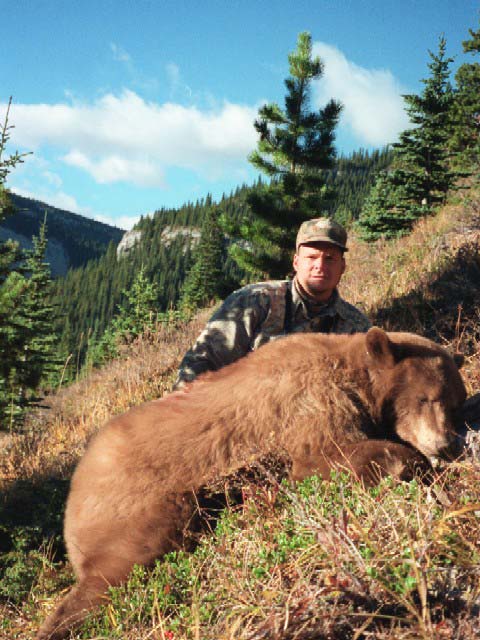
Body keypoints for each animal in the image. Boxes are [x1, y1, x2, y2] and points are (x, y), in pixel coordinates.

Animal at [36, 327, 466, 640]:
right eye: (427, 398)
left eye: (455, 399)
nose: (446, 444)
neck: (349, 369)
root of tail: (76, 484)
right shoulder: (309, 403)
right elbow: (321, 459)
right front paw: (414, 465)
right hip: (139, 503)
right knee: (118, 568)